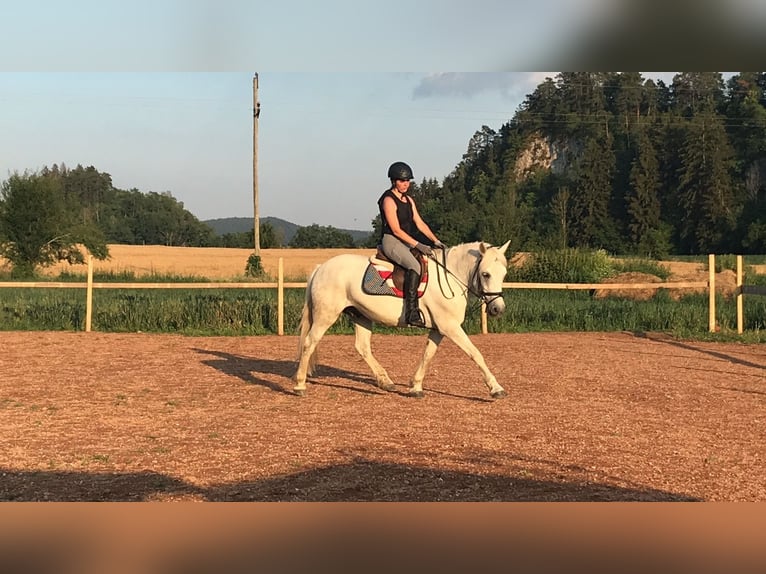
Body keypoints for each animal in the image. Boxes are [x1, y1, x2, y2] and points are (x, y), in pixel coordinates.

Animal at [293, 240, 511, 399]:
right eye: (485, 274)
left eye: (504, 274)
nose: (497, 309)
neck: (451, 277)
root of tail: (321, 268)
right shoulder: (450, 327)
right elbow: (476, 354)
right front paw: (496, 388)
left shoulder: (439, 329)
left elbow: (427, 355)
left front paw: (415, 387)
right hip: (326, 315)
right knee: (309, 342)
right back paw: (300, 385)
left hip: (361, 315)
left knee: (362, 347)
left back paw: (385, 381)